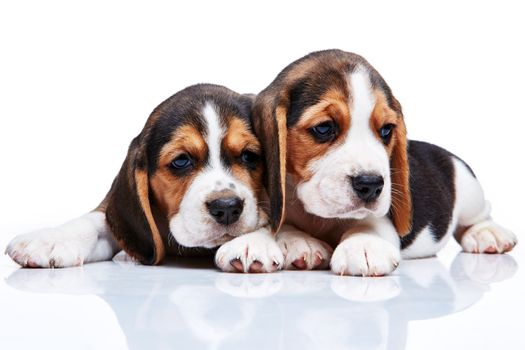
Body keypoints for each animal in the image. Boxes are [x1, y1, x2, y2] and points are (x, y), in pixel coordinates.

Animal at [6, 83, 282, 272]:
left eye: (248, 156)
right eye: (181, 161)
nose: (226, 208)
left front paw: (252, 243)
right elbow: (94, 223)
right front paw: (50, 239)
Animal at [253, 50, 516, 276]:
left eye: (386, 130)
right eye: (324, 128)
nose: (370, 184)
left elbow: (368, 223)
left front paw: (363, 245)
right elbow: (284, 224)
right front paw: (300, 241)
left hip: (469, 188)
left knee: (479, 215)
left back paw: (488, 234)